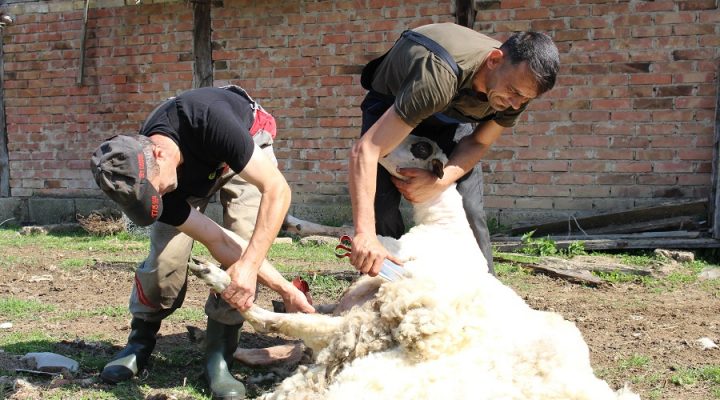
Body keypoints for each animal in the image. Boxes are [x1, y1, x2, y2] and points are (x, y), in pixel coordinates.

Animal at [188, 134, 640, 400]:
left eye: (420, 147)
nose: (373, 147)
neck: (445, 223)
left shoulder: (393, 257)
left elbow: (347, 230)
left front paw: (297, 224)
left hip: (373, 327)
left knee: (297, 323)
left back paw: (216, 275)